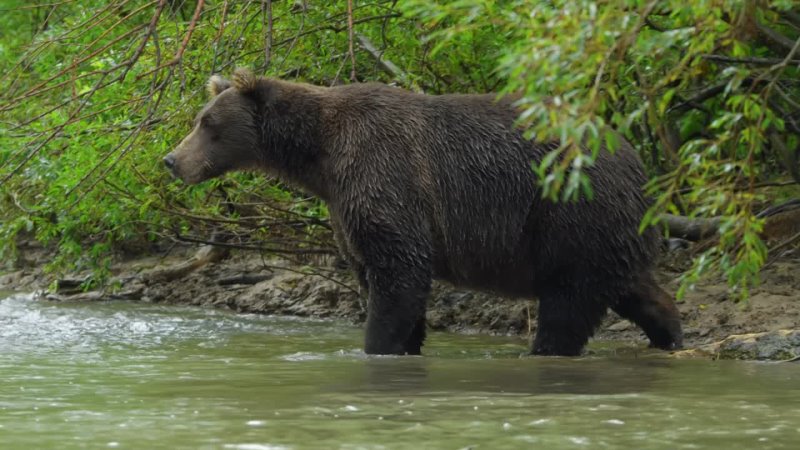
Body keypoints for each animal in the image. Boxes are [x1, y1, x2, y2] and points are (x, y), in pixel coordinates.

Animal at [162, 68, 680, 356]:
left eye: (206, 123)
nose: (171, 159)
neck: (319, 156)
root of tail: (637, 161)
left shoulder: (384, 173)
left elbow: (399, 273)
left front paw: (377, 346)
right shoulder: (345, 204)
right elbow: (379, 272)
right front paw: (406, 344)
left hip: (569, 213)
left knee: (568, 304)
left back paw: (545, 352)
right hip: (606, 230)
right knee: (635, 289)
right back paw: (671, 335)